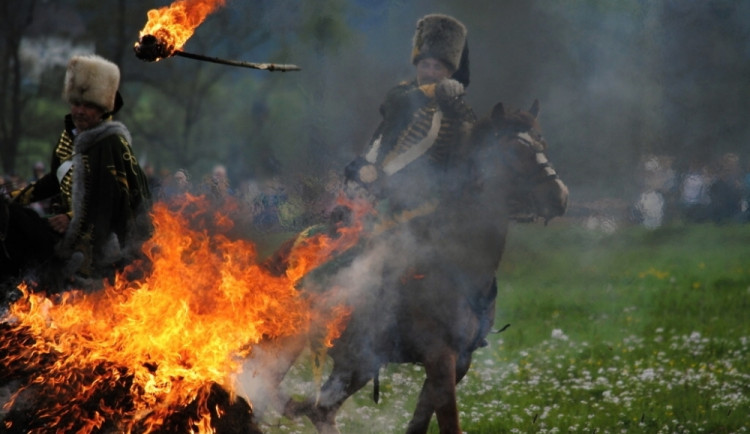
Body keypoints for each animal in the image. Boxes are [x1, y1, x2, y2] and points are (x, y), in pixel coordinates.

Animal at [264, 99, 568, 434]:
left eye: (543, 144)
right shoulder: (440, 358)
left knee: (321, 410)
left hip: (357, 362)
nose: (559, 196)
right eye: (514, 150)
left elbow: (419, 423)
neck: (458, 262)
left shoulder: (459, 362)